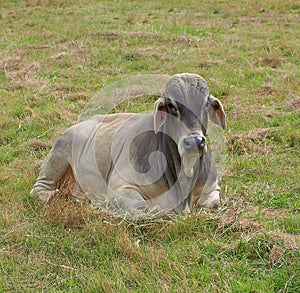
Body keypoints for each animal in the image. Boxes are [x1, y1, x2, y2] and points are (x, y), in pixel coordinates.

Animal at [30, 72, 226, 216]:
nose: (194, 141)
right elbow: (145, 208)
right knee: (39, 190)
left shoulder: (212, 188)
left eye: (205, 104)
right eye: (171, 106)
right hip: (58, 154)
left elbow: (215, 204)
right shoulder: (121, 186)